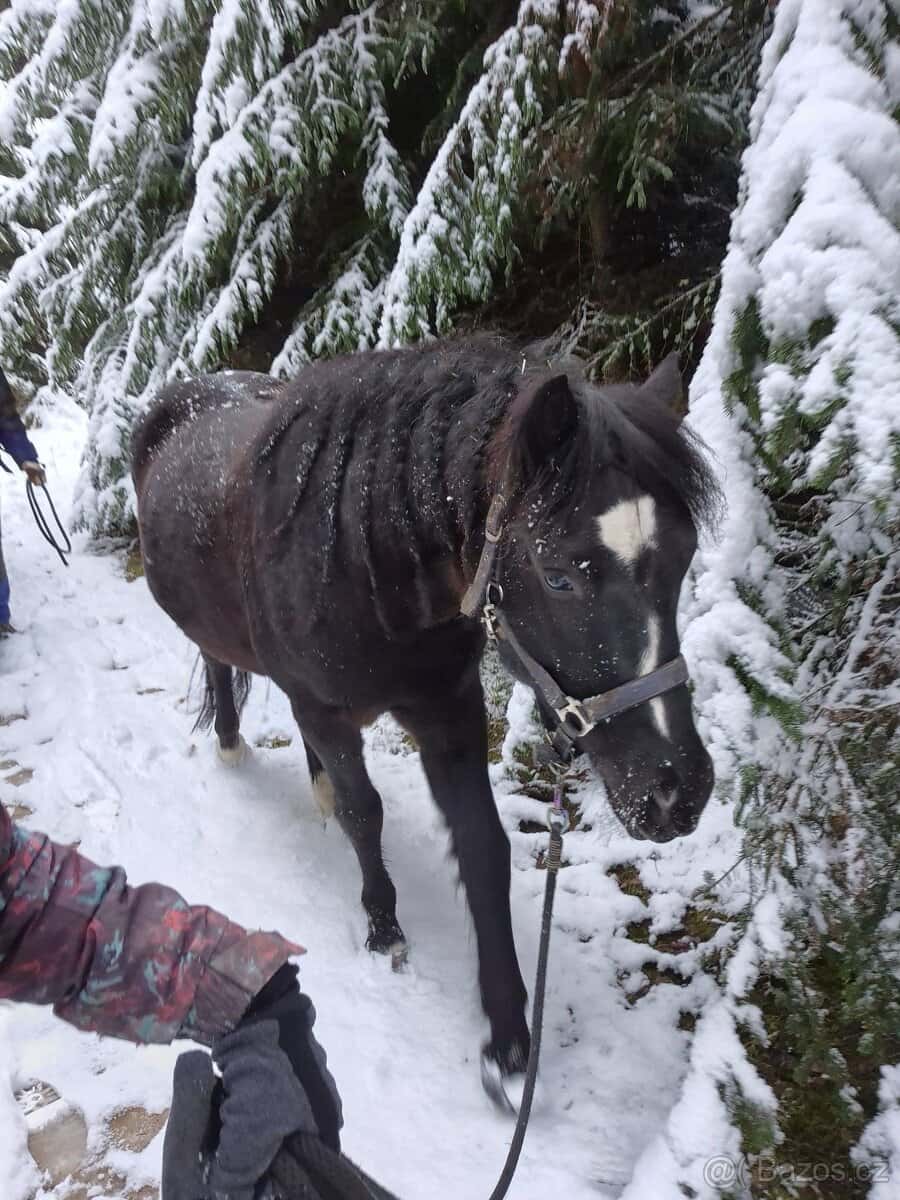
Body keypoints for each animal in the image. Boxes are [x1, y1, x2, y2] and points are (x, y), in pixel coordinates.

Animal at [131, 335, 719, 1105]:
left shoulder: (447, 709)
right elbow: (364, 814)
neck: (357, 561)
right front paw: (384, 928)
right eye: (559, 575)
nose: (680, 791)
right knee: (219, 662)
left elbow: (482, 846)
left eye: (683, 558)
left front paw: (507, 1036)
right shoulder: (328, 709)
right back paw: (232, 745)